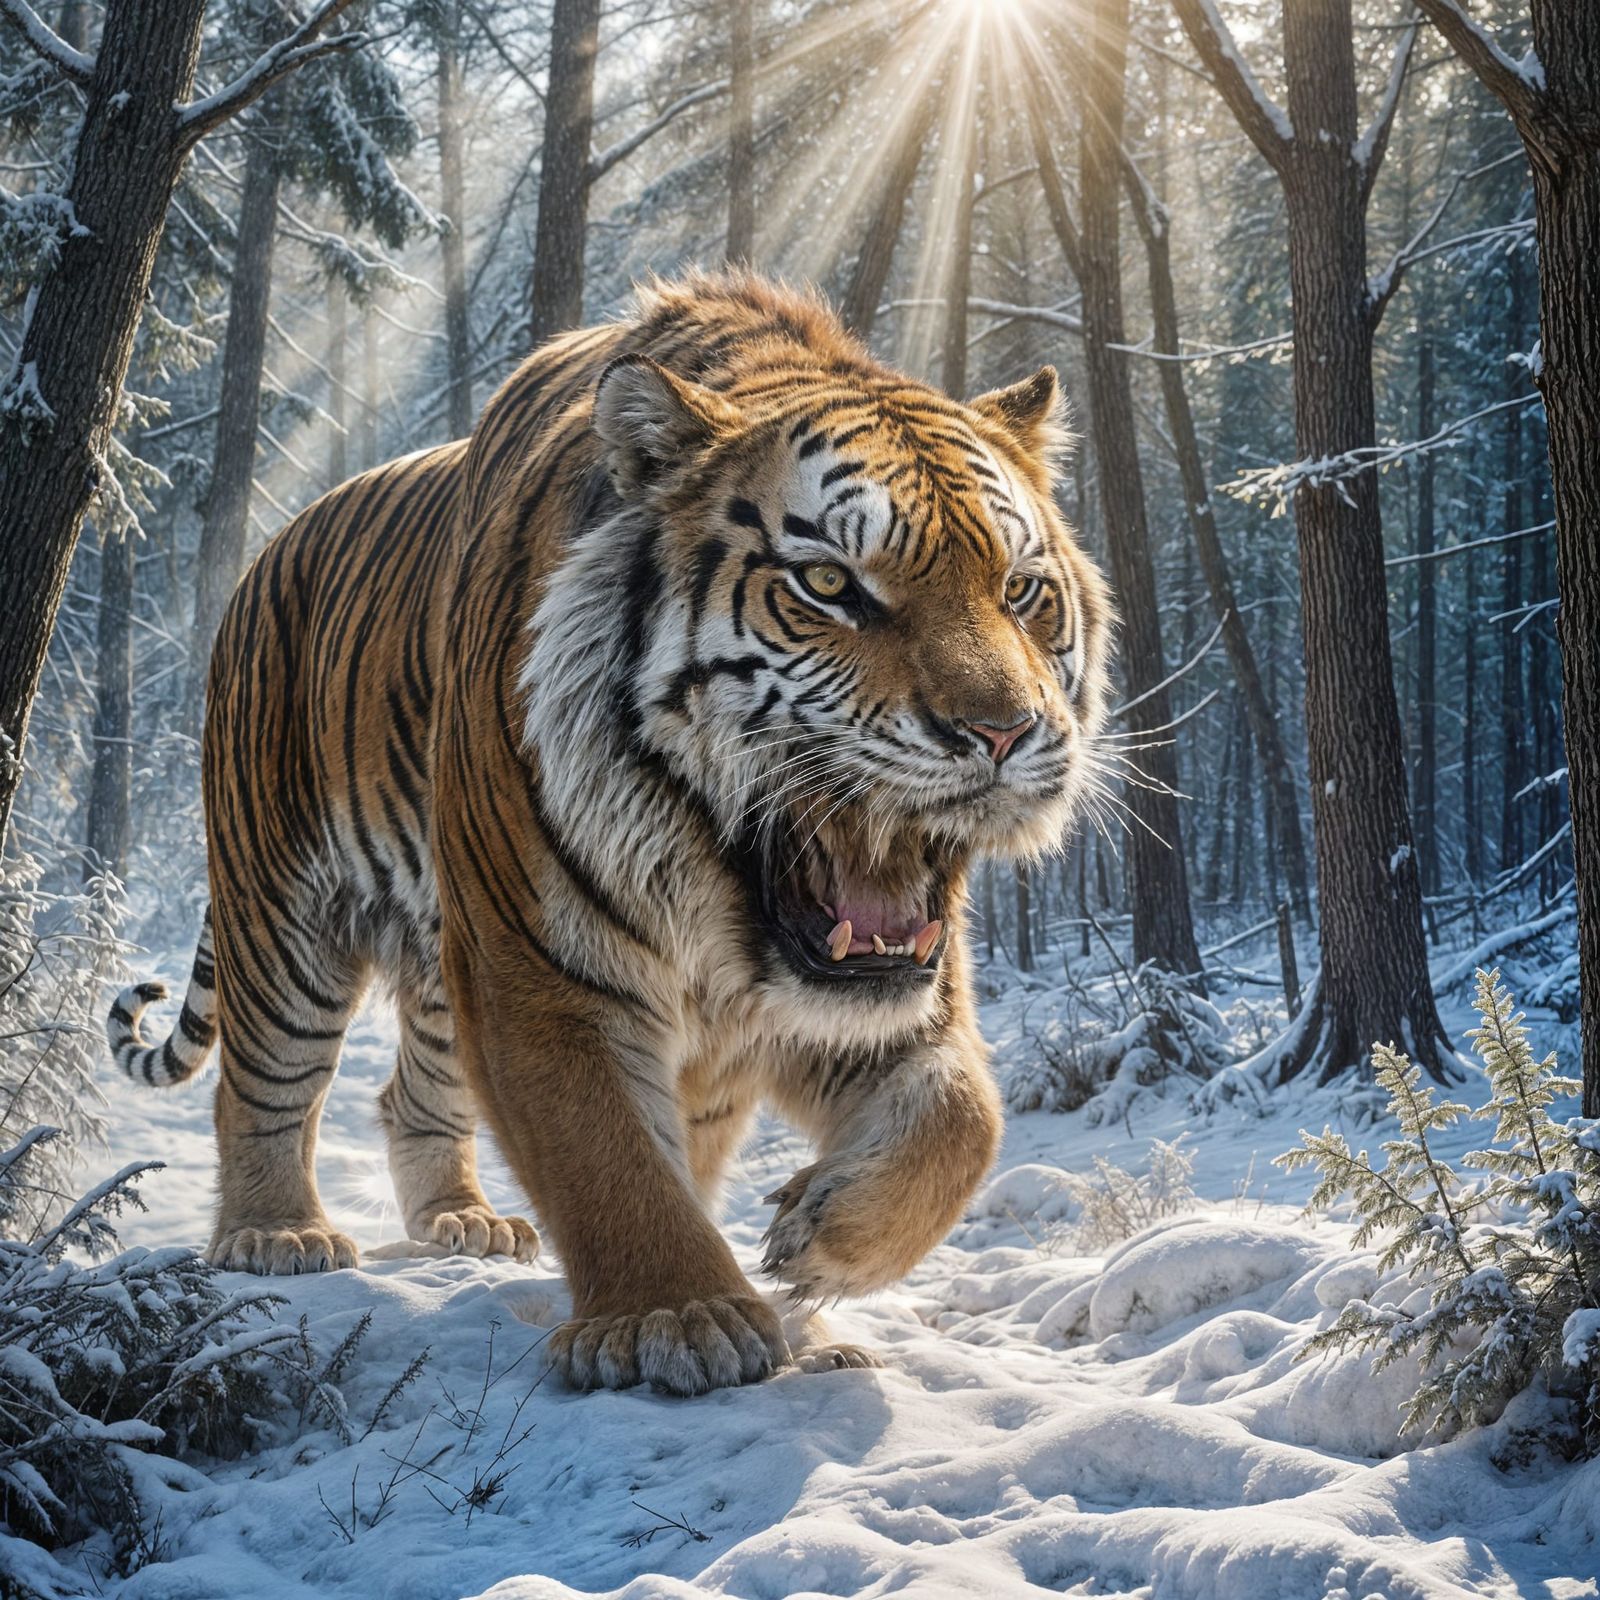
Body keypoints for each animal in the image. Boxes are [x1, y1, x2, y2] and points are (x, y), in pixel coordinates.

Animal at [108, 270, 1112, 1395]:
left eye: (1020, 591)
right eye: (830, 586)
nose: (1002, 731)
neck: (720, 911)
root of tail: (269, 548)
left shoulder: (876, 1000)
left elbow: (961, 1120)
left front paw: (816, 1241)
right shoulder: (535, 962)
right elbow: (605, 1152)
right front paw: (677, 1318)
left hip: (437, 958)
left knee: (414, 1091)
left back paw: (460, 1221)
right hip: (286, 913)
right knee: (265, 1082)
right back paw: (276, 1234)